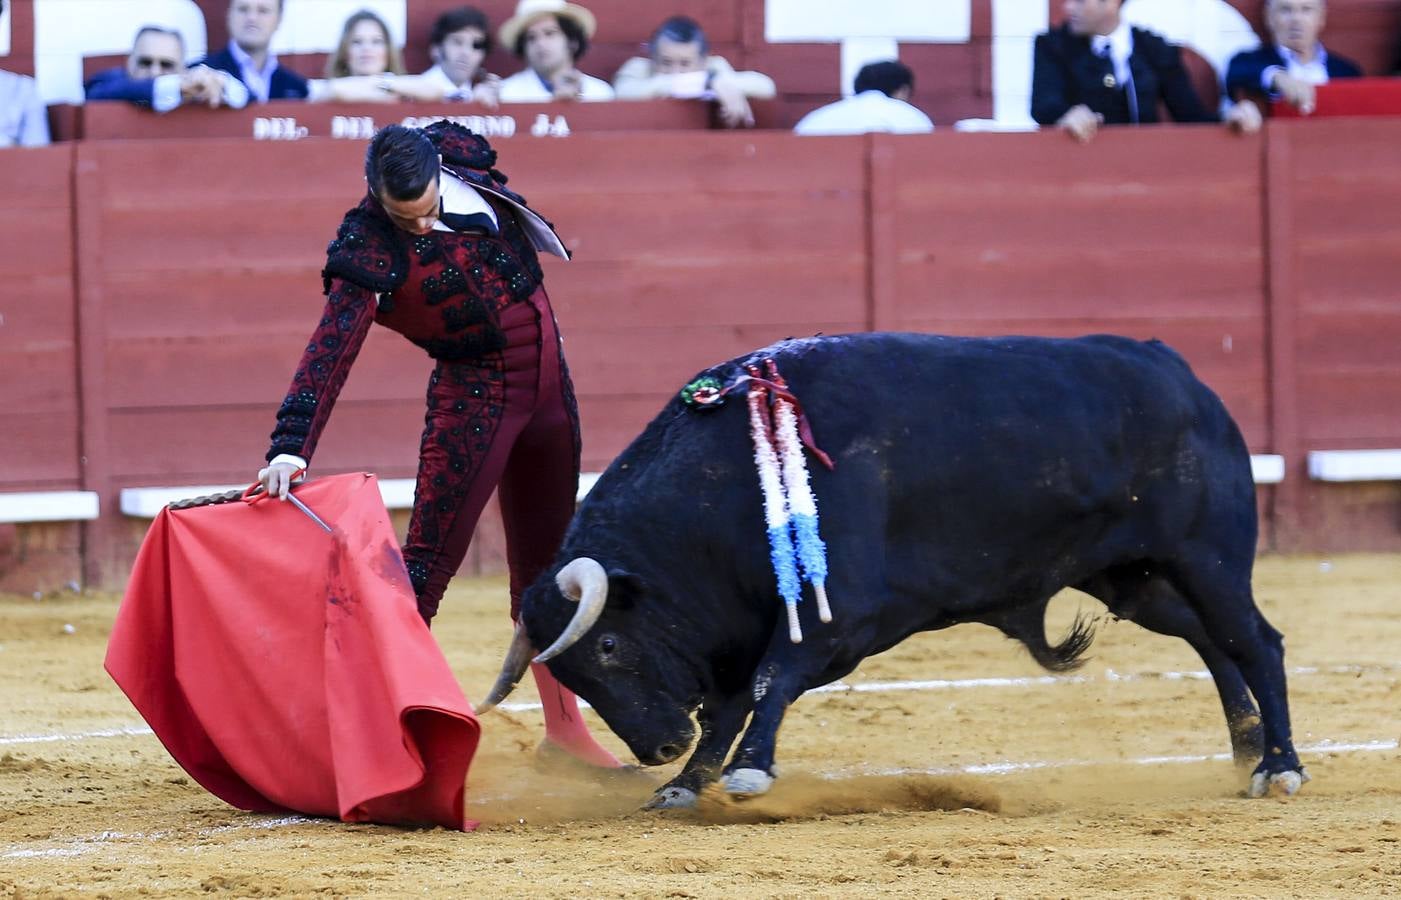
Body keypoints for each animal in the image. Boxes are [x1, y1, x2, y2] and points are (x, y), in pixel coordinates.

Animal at [484, 333, 1311, 801]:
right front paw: (688, 784)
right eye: (573, 672)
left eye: (608, 644)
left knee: (1256, 640)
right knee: (1211, 642)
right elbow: (729, 702)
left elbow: (767, 682)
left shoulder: (839, 615)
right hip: (1131, 576)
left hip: (1206, 557)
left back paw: (1279, 767)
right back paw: (1245, 746)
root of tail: (1177, 371)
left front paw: (745, 773)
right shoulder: (749, 624)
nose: (657, 748)